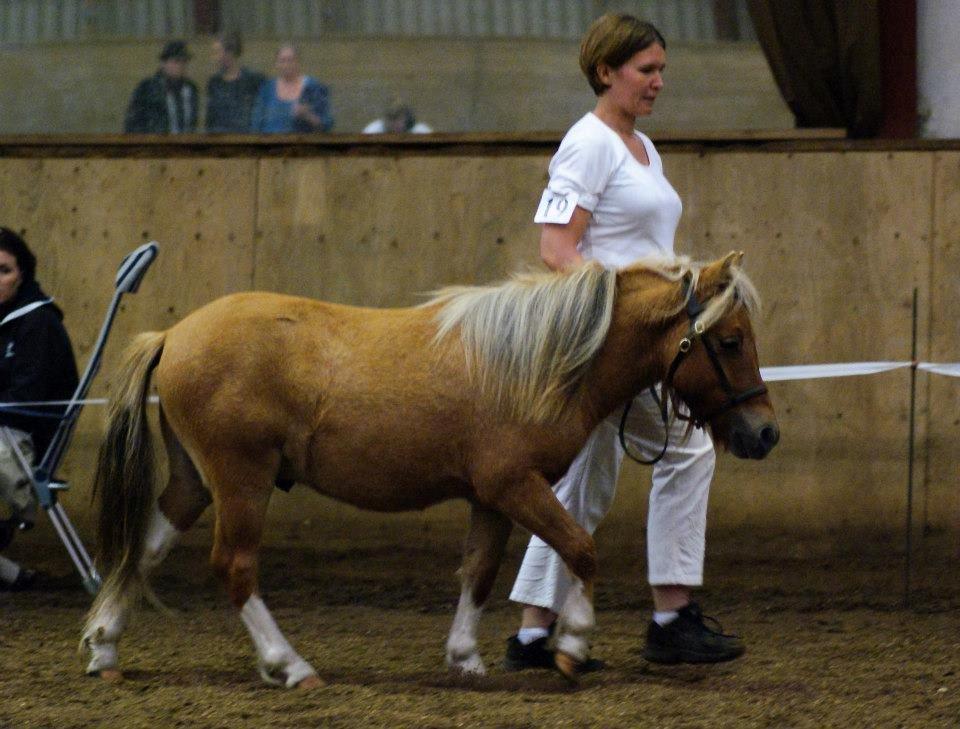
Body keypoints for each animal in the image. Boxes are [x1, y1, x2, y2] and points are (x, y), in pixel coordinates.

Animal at [80, 249, 772, 684]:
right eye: (730, 340)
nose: (764, 432)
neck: (539, 361)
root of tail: (172, 336)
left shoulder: (490, 497)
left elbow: (481, 572)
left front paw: (465, 656)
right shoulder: (514, 485)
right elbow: (580, 548)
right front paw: (574, 644)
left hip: (195, 481)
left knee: (144, 550)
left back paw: (105, 647)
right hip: (241, 481)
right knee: (234, 567)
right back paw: (290, 666)